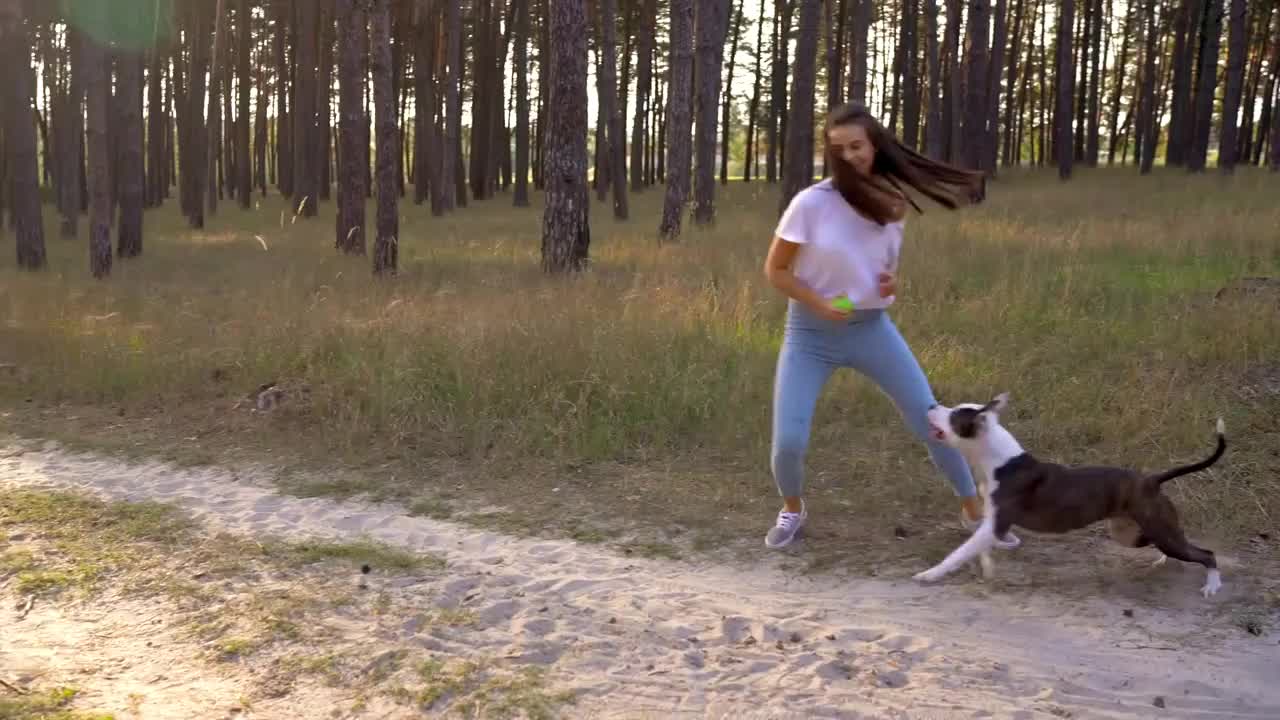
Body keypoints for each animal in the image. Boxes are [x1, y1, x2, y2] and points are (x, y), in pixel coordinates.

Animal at [916, 392, 1223, 594]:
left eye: (953, 415)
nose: (930, 405)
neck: (998, 461)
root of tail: (1152, 480)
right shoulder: (992, 526)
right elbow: (979, 548)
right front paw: (989, 567)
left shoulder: (995, 524)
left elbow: (958, 553)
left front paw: (929, 574)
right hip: (1129, 532)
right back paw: (1162, 560)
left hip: (1157, 530)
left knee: (1207, 553)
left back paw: (1212, 585)